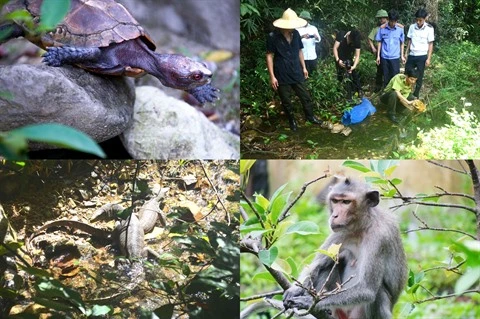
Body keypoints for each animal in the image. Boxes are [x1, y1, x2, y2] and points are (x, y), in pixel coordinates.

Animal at [284, 178, 406, 319]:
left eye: (346, 202)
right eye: (335, 201)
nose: (335, 216)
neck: (361, 227)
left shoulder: (379, 238)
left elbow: (367, 289)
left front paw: (309, 301)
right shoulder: (339, 234)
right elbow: (315, 265)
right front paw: (295, 290)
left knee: (378, 292)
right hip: (338, 311)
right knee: (328, 264)